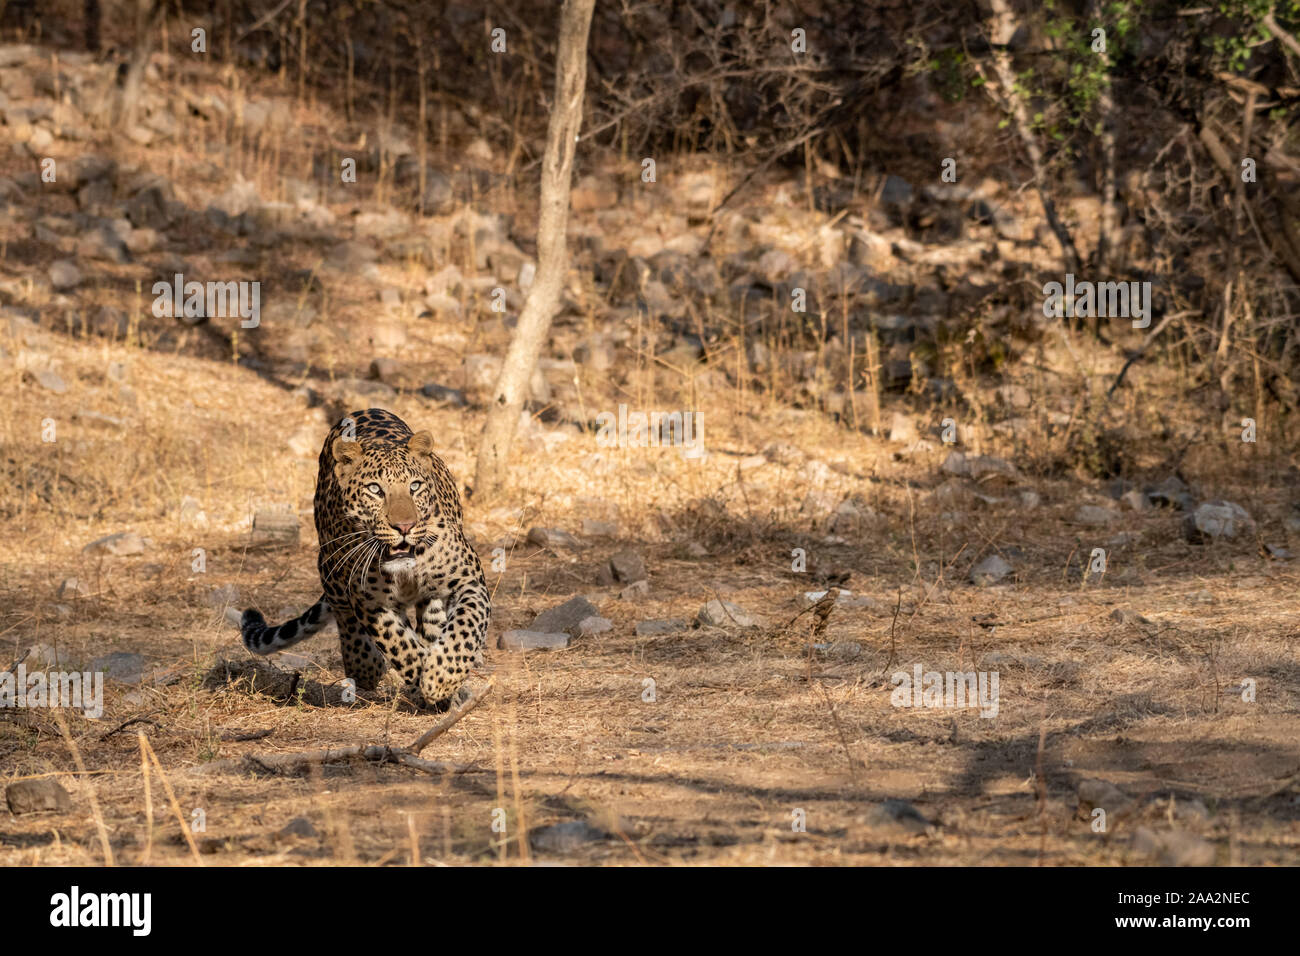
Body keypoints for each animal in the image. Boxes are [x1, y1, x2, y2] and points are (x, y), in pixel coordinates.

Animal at [241, 408, 488, 707]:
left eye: (415, 486)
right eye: (375, 489)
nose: (404, 526)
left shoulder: (469, 580)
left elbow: (466, 627)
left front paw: (441, 678)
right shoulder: (369, 600)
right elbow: (400, 645)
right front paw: (423, 678)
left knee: (432, 619)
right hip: (329, 564)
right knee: (344, 613)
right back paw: (365, 666)